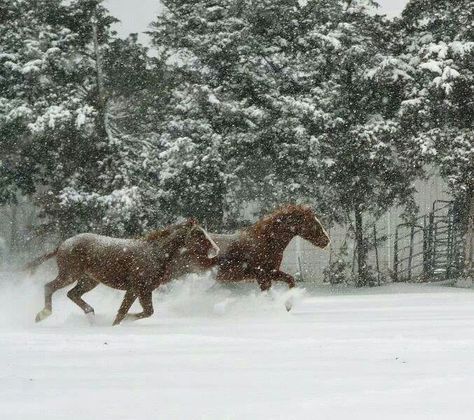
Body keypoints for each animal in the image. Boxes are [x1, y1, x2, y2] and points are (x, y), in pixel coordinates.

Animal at [30, 218, 219, 326]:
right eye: (198, 234)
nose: (216, 250)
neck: (154, 253)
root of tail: (64, 244)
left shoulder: (140, 290)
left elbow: (138, 312)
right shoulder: (138, 289)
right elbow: (128, 312)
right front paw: (120, 323)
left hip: (89, 280)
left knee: (72, 294)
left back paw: (91, 314)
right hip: (70, 275)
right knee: (49, 287)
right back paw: (42, 315)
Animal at [170, 204, 330, 292]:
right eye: (312, 222)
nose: (327, 240)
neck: (266, 241)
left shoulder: (272, 272)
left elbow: (291, 280)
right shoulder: (262, 275)